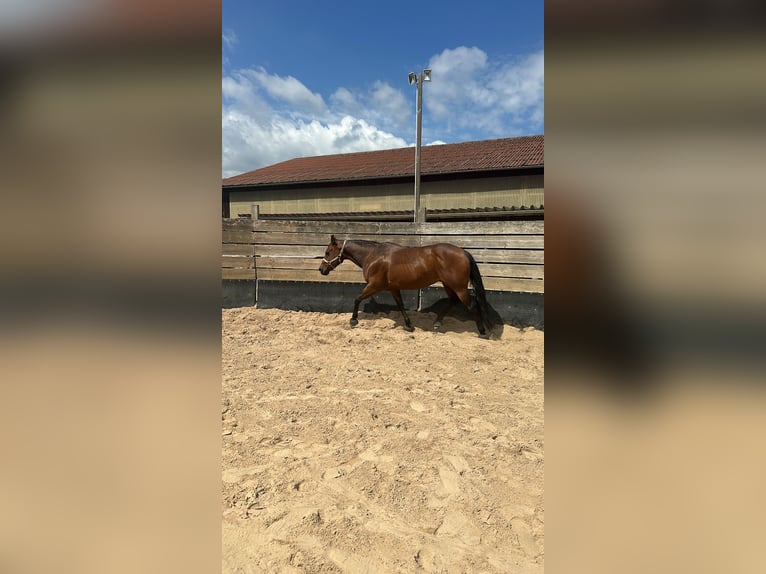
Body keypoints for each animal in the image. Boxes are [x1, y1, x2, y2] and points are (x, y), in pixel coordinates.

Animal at [318, 235, 491, 338]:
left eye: (327, 252)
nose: (321, 269)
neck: (373, 255)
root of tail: (463, 252)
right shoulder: (394, 288)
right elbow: (400, 305)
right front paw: (408, 325)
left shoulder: (374, 286)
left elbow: (357, 299)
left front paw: (353, 320)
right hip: (448, 284)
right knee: (453, 301)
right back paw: (437, 323)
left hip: (459, 288)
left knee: (472, 304)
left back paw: (482, 332)